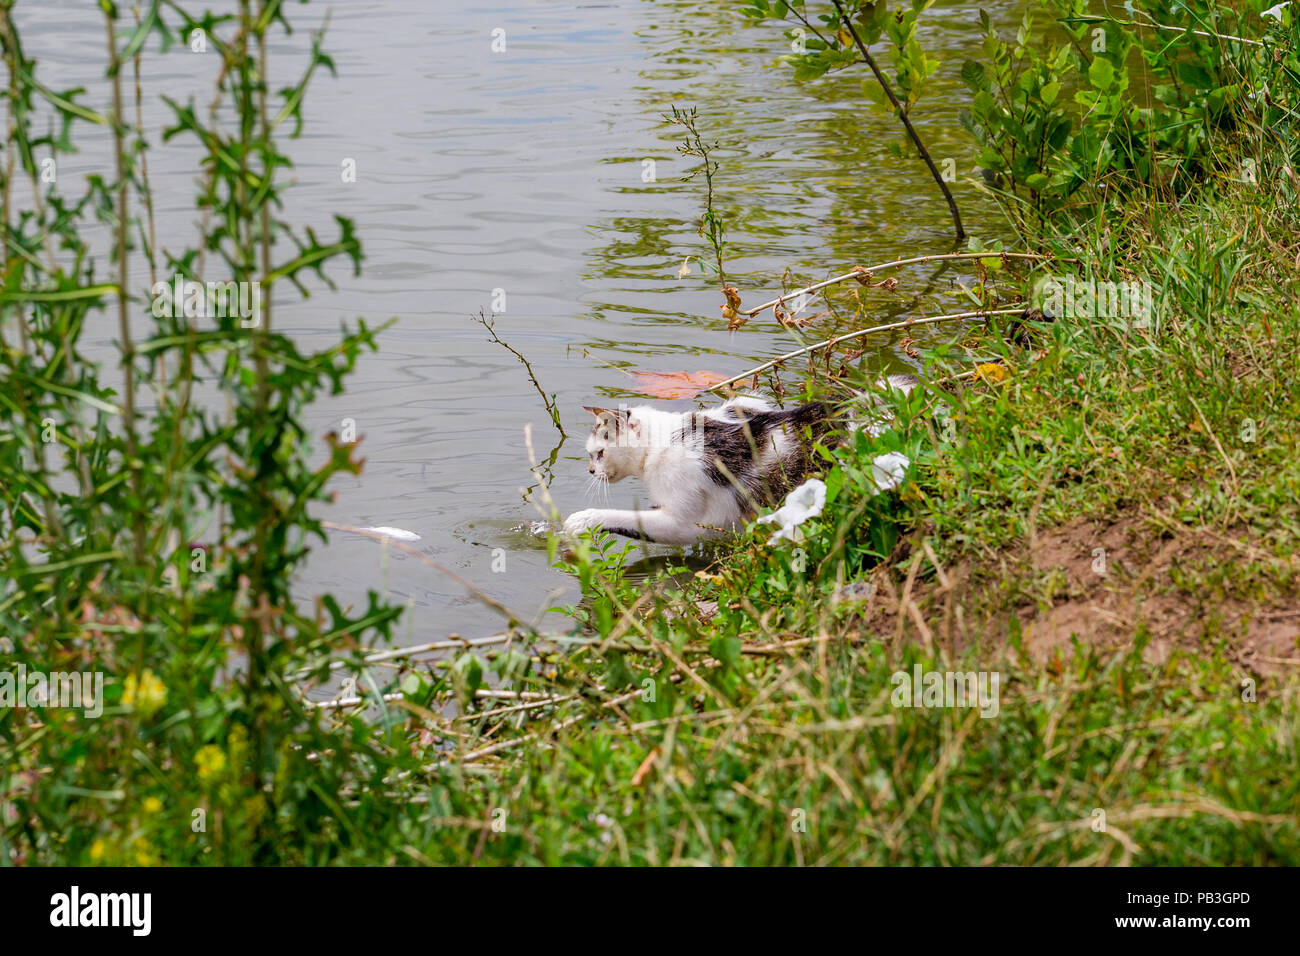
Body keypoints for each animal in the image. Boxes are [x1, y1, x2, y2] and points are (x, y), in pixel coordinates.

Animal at [564, 377, 920, 548]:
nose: (591, 470)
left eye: (598, 453)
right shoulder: (746, 404)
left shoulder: (685, 522)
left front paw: (580, 519)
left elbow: (623, 518)